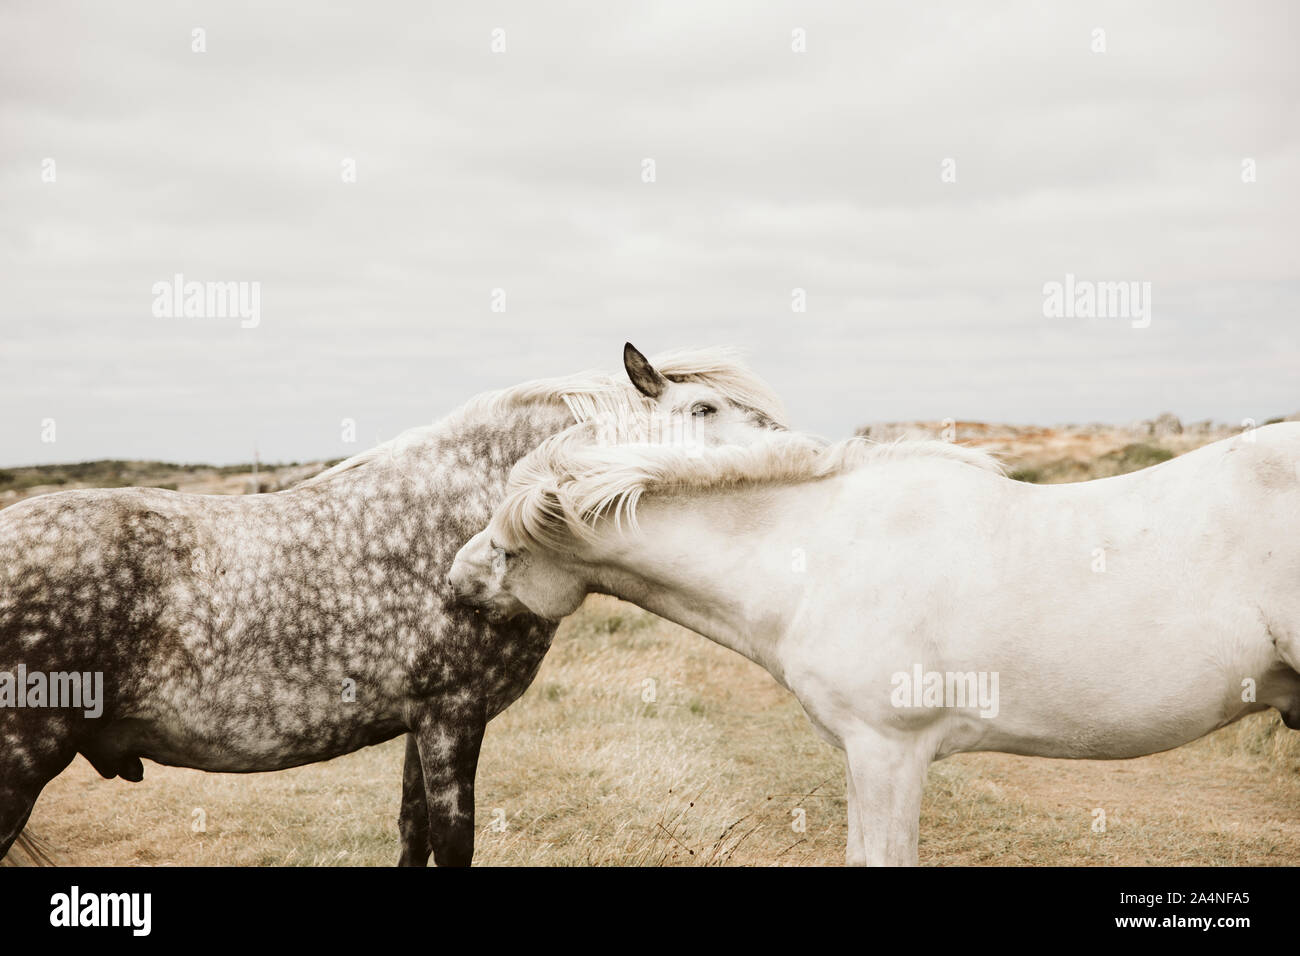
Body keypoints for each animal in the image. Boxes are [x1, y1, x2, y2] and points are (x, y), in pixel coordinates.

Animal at [0, 343, 785, 868]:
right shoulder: (452, 715)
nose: (790, 453)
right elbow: (452, 842)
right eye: (704, 410)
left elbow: (413, 837)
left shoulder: (421, 721)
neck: (454, 526)